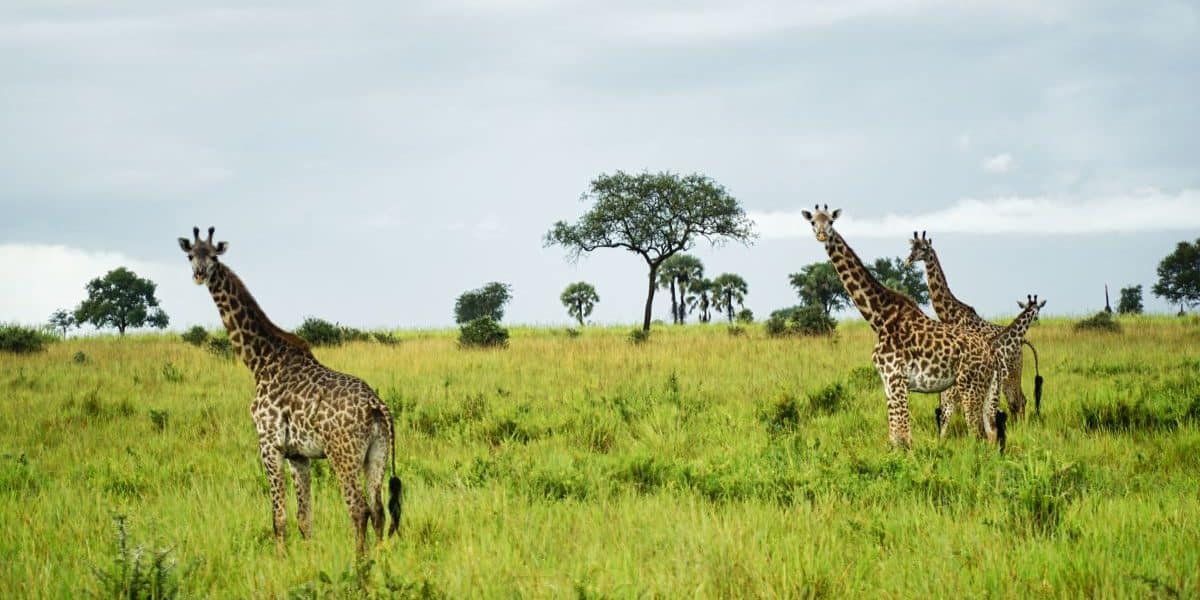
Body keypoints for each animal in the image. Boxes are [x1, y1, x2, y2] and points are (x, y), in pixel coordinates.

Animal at [178, 227, 402, 555]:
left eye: (214, 257)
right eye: (191, 255)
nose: (199, 274)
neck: (261, 361)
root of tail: (376, 405)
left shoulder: (269, 444)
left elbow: (278, 516)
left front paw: (281, 559)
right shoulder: (299, 455)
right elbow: (304, 517)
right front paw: (308, 559)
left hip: (343, 455)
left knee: (358, 509)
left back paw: (360, 562)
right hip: (377, 453)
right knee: (378, 510)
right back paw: (378, 557)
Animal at [800, 206, 1005, 448]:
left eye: (831, 221)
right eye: (813, 221)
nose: (822, 234)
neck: (878, 318)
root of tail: (991, 353)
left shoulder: (897, 379)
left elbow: (904, 437)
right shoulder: (887, 382)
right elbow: (894, 436)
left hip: (969, 386)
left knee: (978, 434)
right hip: (988, 389)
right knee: (991, 433)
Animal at [906, 231, 1044, 417]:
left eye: (924, 248)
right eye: (912, 247)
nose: (908, 260)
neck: (950, 314)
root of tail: (1023, 342)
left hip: (1011, 373)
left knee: (1018, 401)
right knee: (1018, 401)